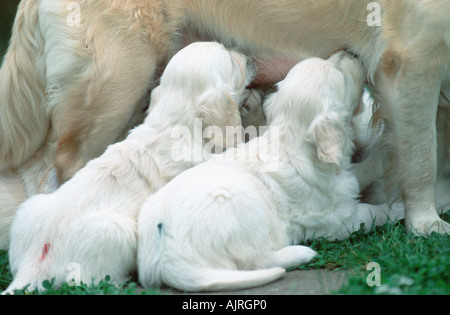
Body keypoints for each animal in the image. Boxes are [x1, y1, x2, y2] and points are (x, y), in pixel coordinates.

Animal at [5, 42, 253, 294]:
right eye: (231, 61)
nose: (246, 56)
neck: (173, 122)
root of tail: (34, 263)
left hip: (31, 208)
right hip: (118, 233)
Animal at [137, 51, 404, 294]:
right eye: (342, 76)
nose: (352, 52)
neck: (290, 142)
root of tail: (166, 259)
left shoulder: (343, 178)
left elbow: (361, 171)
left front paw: (384, 149)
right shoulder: (336, 219)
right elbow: (372, 213)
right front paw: (399, 209)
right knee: (253, 261)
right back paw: (299, 253)